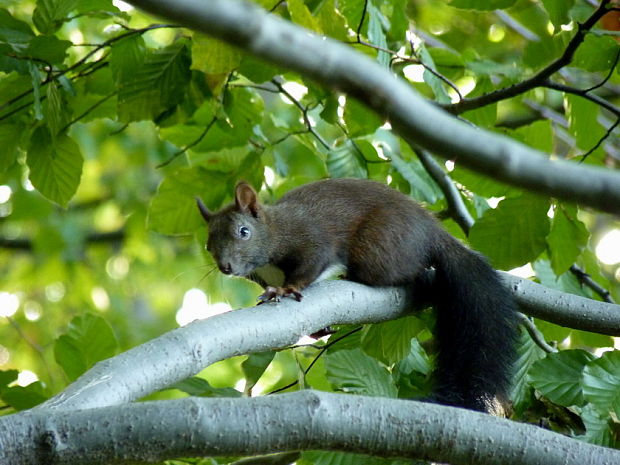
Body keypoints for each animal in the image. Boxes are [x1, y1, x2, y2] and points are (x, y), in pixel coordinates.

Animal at [197, 179, 520, 414]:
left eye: (244, 231)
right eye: (208, 243)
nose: (226, 267)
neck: (275, 231)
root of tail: (433, 231)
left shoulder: (312, 241)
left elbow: (311, 265)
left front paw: (287, 289)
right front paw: (317, 327)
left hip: (379, 247)